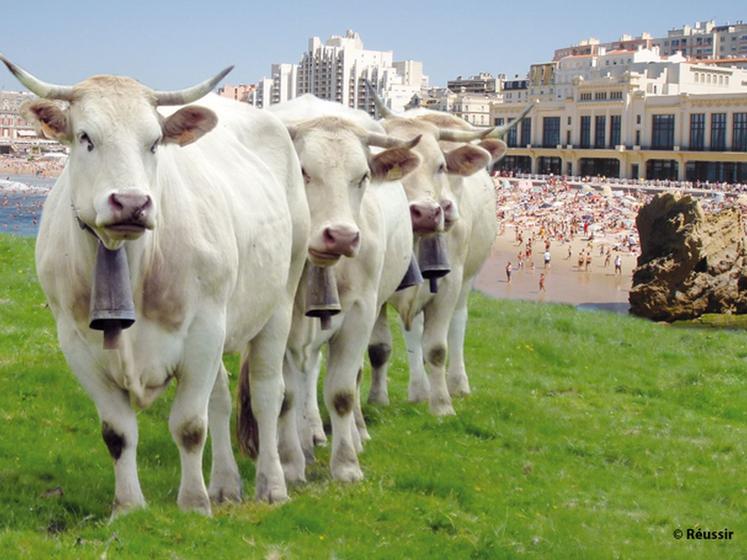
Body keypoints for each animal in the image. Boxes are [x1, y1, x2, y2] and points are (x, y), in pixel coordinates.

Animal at [0, 55, 310, 512]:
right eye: (85, 137)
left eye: (154, 142)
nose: (131, 203)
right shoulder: (77, 345)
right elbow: (117, 432)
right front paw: (128, 506)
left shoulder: (202, 331)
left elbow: (189, 425)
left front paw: (194, 504)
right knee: (220, 398)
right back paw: (225, 485)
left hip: (280, 300)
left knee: (269, 394)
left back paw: (271, 485)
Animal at [268, 97, 420, 482]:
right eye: (303, 171)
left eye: (362, 177)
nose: (341, 236)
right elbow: (286, 396)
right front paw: (289, 463)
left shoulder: (360, 314)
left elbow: (341, 391)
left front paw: (347, 464)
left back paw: (353, 432)